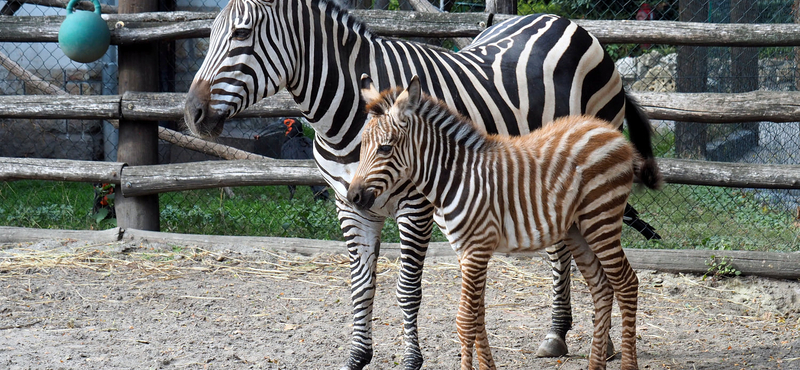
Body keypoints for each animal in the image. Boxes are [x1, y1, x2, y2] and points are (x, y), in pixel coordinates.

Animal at [346, 76, 660, 370]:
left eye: (385, 148)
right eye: (362, 147)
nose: (353, 197)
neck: (454, 177)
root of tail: (610, 131)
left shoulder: (476, 248)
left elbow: (464, 320)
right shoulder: (465, 251)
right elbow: (478, 314)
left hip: (601, 219)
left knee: (627, 283)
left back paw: (628, 363)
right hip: (578, 230)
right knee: (602, 288)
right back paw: (595, 364)